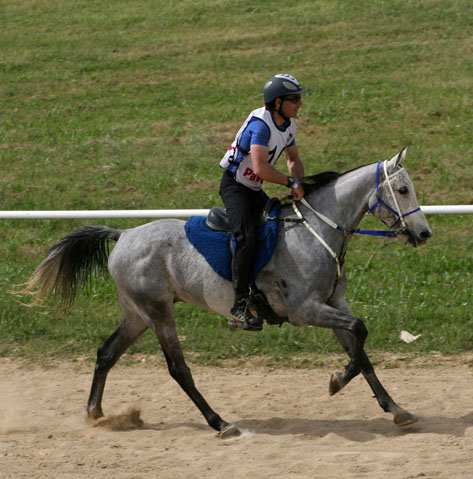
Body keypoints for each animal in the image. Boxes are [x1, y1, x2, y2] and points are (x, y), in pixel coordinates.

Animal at [22, 149, 432, 438]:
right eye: (402, 189)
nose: (424, 233)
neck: (317, 230)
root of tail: (122, 236)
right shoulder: (306, 309)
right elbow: (360, 332)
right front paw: (336, 381)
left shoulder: (333, 303)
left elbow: (361, 353)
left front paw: (396, 409)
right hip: (158, 313)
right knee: (179, 369)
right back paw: (220, 423)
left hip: (137, 313)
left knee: (106, 353)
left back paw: (94, 413)